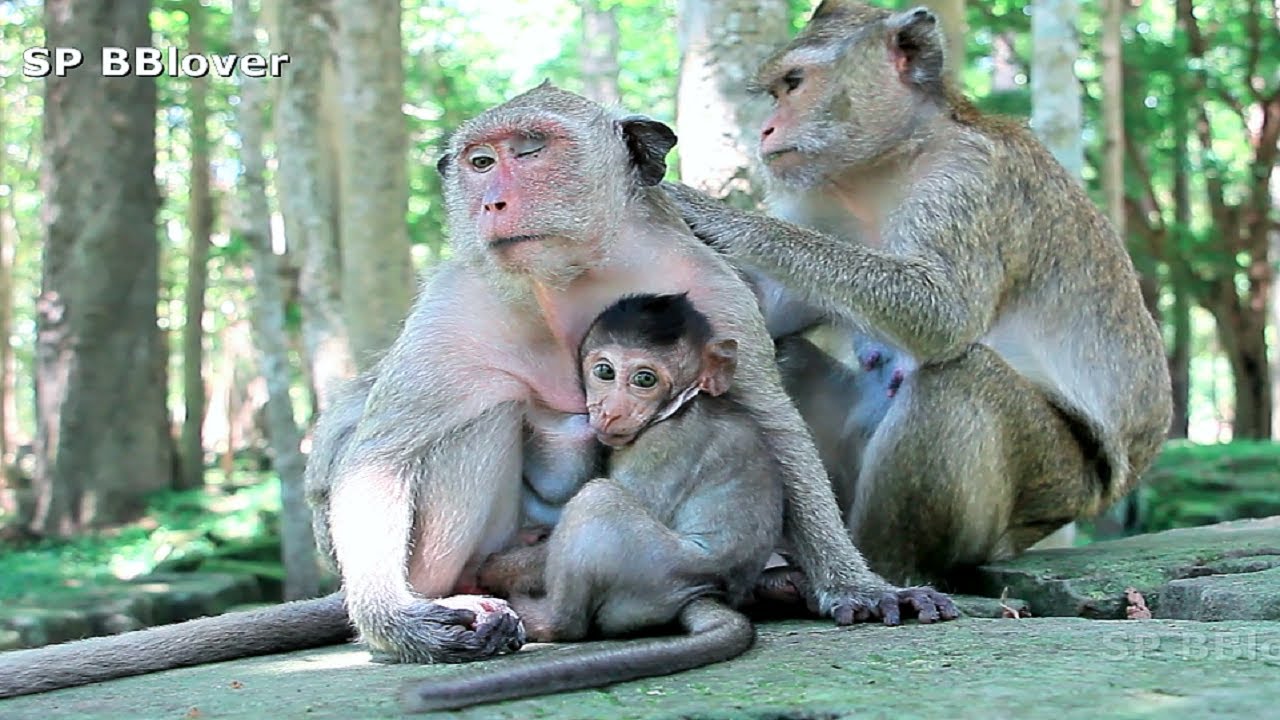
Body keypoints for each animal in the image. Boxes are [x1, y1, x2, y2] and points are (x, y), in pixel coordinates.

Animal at [401, 292, 787, 712]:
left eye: (645, 379)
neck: (679, 406)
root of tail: (703, 591)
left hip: (652, 567)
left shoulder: (660, 447)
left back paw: (542, 618)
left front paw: (493, 569)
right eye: (604, 371)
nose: (610, 411)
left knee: (598, 503)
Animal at [664, 0, 1173, 585]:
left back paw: (880, 569)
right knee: (785, 356)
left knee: (960, 377)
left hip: (1047, 486)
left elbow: (942, 312)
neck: (883, 165)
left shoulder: (970, 181)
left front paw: (717, 215)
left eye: (794, 83)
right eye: (775, 92)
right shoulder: (820, 198)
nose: (766, 130)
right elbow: (765, 314)